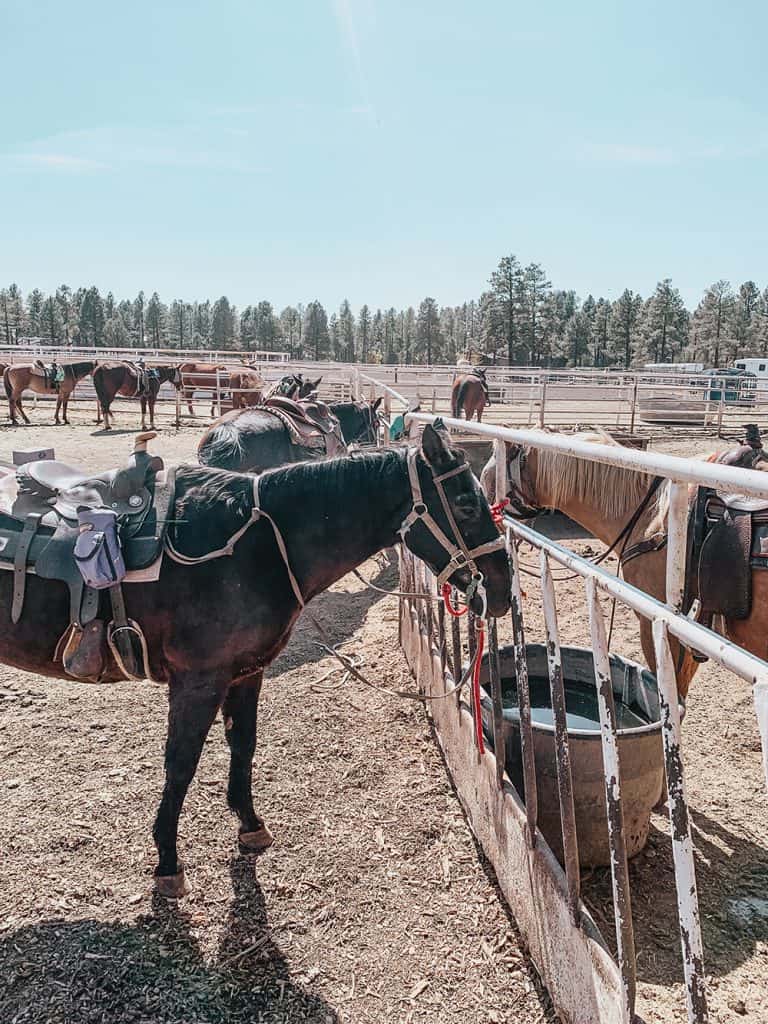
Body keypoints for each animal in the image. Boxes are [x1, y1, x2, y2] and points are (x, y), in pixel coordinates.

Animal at [0, 423, 512, 897]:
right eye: (466, 505)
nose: (503, 587)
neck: (256, 545)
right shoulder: (198, 682)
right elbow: (181, 764)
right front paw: (168, 861)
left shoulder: (246, 674)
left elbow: (242, 745)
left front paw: (249, 825)